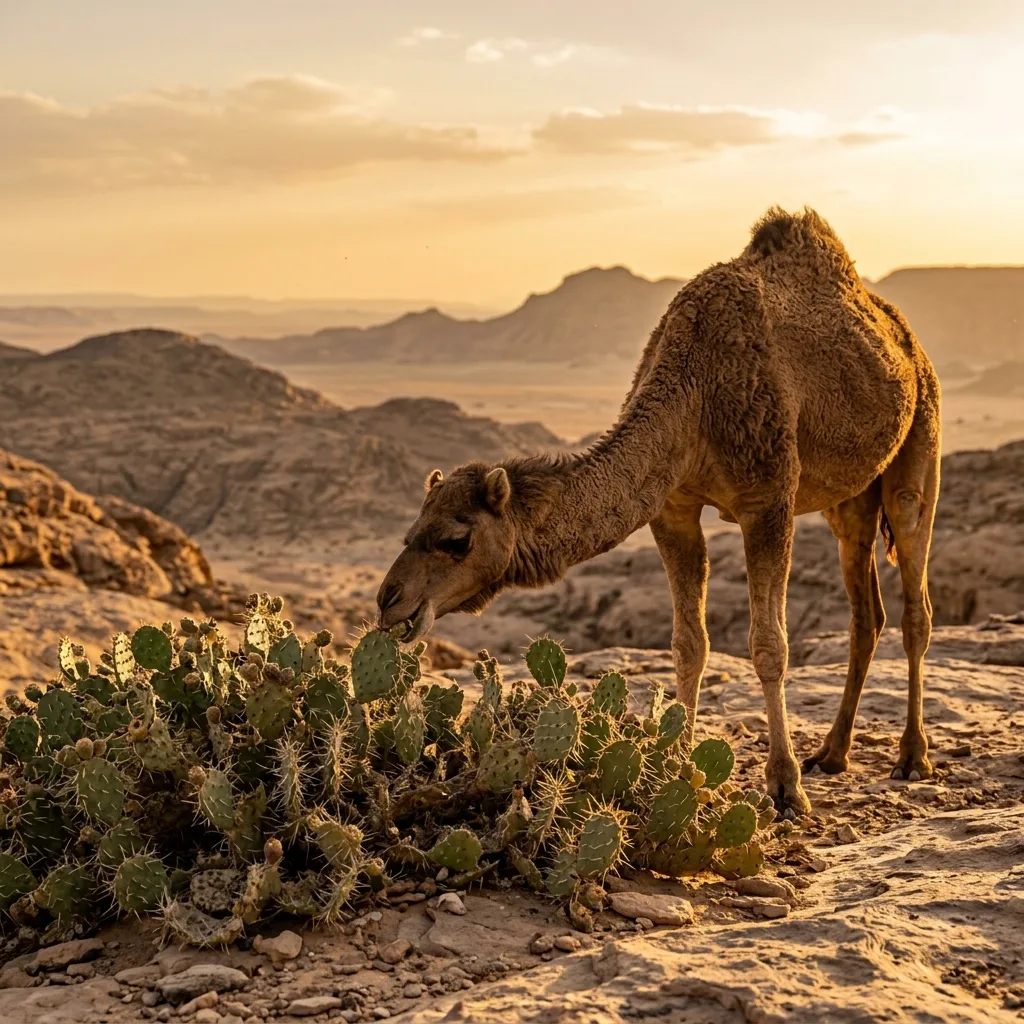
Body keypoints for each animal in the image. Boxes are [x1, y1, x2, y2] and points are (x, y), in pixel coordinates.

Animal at [376, 207, 941, 814]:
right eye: (410, 531)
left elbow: (769, 645)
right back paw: (833, 753)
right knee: (866, 609)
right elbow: (689, 644)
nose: (388, 600)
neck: (694, 391)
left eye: (456, 540)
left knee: (914, 594)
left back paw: (912, 756)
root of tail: (905, 339)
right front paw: (676, 768)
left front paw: (785, 787)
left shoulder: (768, 499)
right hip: (849, 496)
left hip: (920, 436)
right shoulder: (672, 509)